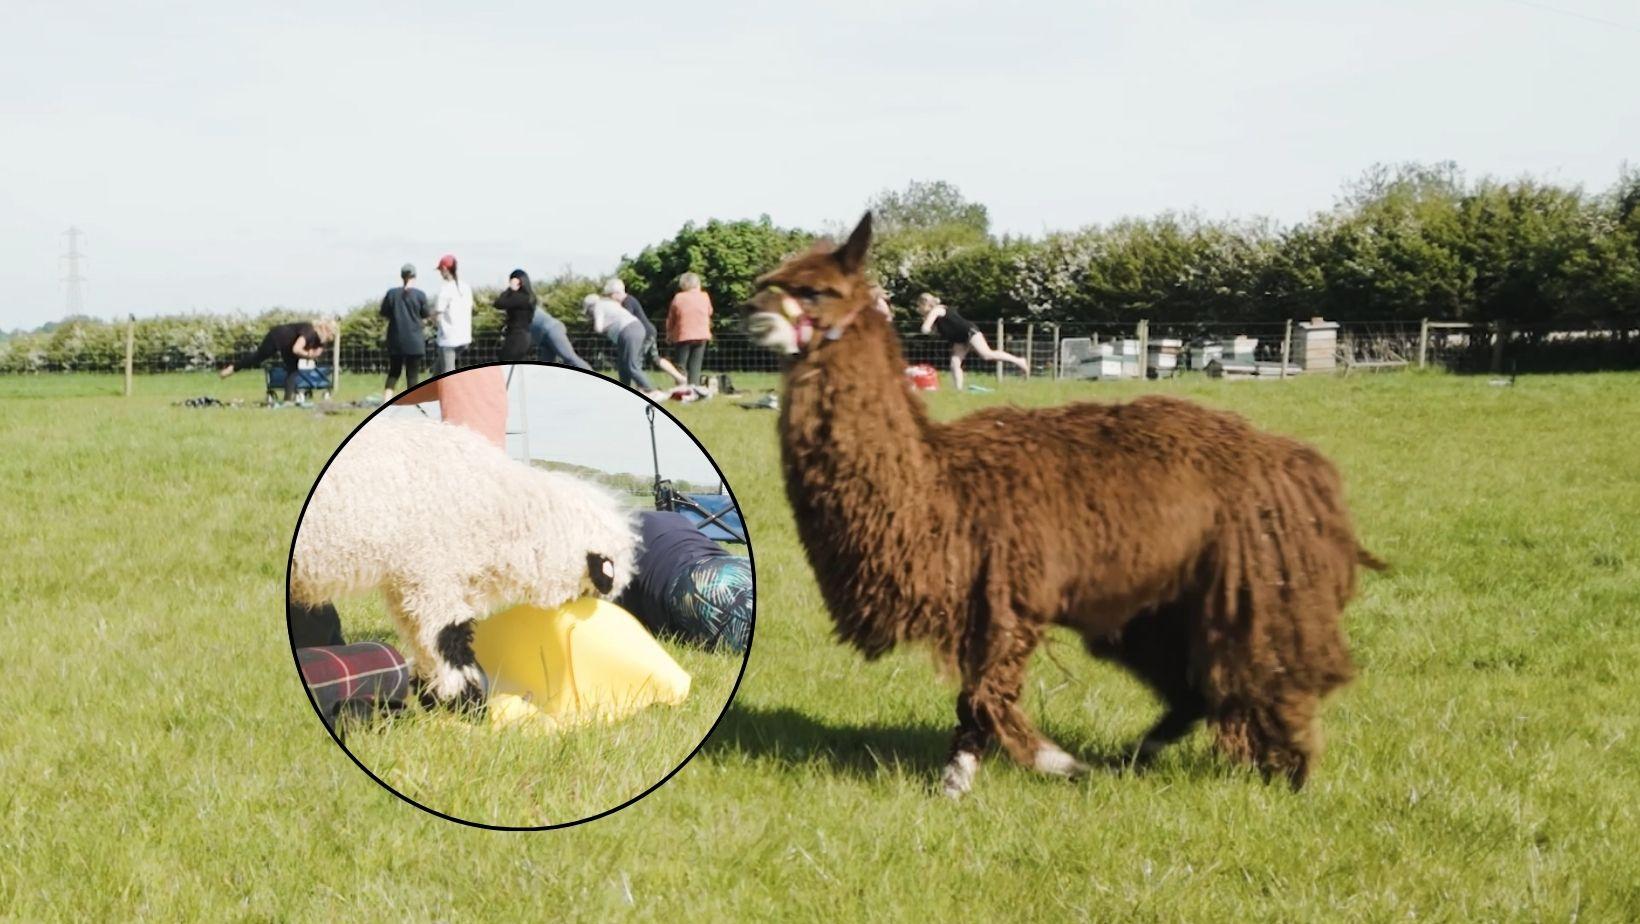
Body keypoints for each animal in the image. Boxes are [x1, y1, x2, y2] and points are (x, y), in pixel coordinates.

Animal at [289, 415, 639, 706]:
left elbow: (421, 638)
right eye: (594, 587)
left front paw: (433, 694)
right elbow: (447, 636)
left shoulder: (408, 578)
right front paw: (466, 702)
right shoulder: (433, 572)